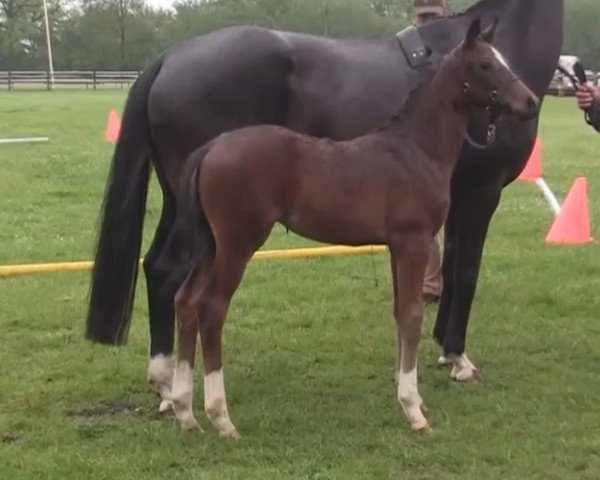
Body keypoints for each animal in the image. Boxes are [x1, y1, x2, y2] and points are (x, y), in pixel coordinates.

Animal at [165, 18, 540, 436]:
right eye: (486, 65)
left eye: (504, 58)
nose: (529, 102)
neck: (416, 150)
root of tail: (212, 147)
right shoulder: (413, 241)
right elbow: (412, 315)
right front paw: (414, 410)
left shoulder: (396, 245)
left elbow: (400, 313)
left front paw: (408, 397)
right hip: (238, 243)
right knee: (212, 307)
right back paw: (221, 418)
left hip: (210, 245)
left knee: (185, 301)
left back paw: (185, 412)